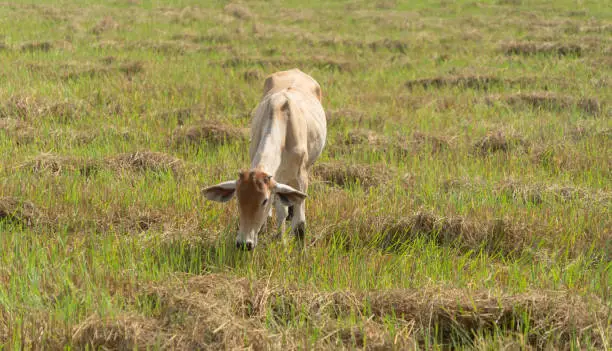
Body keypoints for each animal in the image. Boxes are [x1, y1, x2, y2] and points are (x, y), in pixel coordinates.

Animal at [202, 69, 328, 250]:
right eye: (238, 198)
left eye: (264, 200)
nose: (244, 243)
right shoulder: (277, 180)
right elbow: (281, 212)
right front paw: (281, 239)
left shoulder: (300, 178)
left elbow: (299, 224)